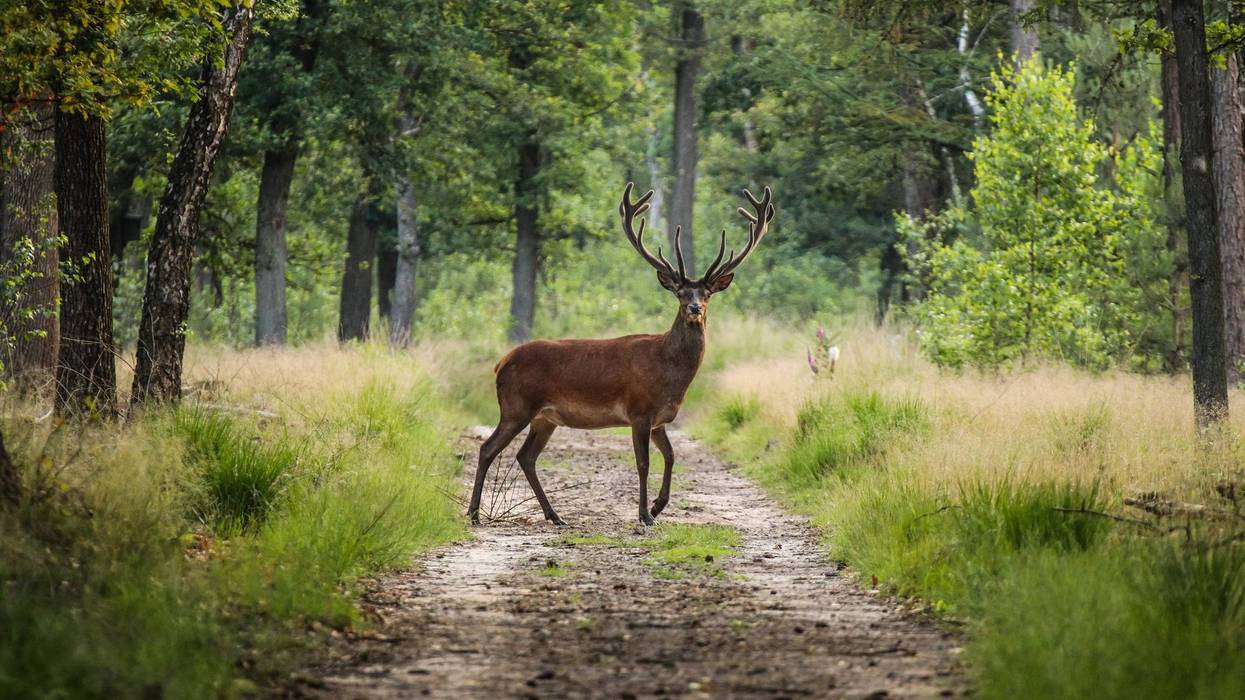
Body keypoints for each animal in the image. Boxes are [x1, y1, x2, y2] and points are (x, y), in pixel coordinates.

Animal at [467, 182, 775, 526]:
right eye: (680, 293)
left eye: (707, 293)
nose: (695, 308)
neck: (669, 374)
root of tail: (501, 363)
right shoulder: (639, 411)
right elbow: (644, 464)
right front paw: (644, 515)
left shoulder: (660, 419)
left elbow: (671, 456)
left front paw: (657, 507)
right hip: (516, 405)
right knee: (488, 449)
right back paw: (475, 513)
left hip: (544, 418)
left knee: (526, 456)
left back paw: (555, 516)